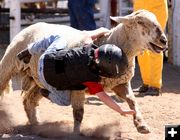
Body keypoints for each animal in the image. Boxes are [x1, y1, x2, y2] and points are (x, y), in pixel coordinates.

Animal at [0, 9, 167, 135]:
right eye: (140, 22)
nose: (164, 40)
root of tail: (32, 25)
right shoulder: (78, 88)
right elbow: (79, 113)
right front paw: (75, 133)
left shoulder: (121, 83)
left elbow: (132, 101)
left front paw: (141, 125)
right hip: (8, 64)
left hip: (39, 79)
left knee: (29, 101)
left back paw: (37, 125)